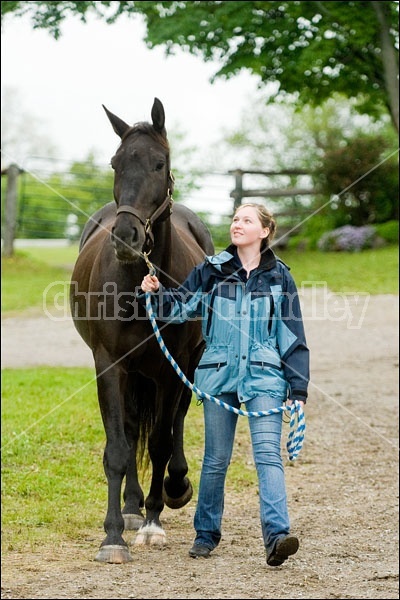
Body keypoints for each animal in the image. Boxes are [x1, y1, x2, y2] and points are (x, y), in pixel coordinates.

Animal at [72, 97, 216, 564]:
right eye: (116, 164)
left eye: (159, 163)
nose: (126, 237)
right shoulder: (109, 365)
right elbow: (119, 449)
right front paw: (114, 536)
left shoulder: (171, 369)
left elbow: (160, 442)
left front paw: (155, 519)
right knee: (135, 427)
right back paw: (133, 508)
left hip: (182, 366)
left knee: (174, 425)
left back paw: (171, 490)